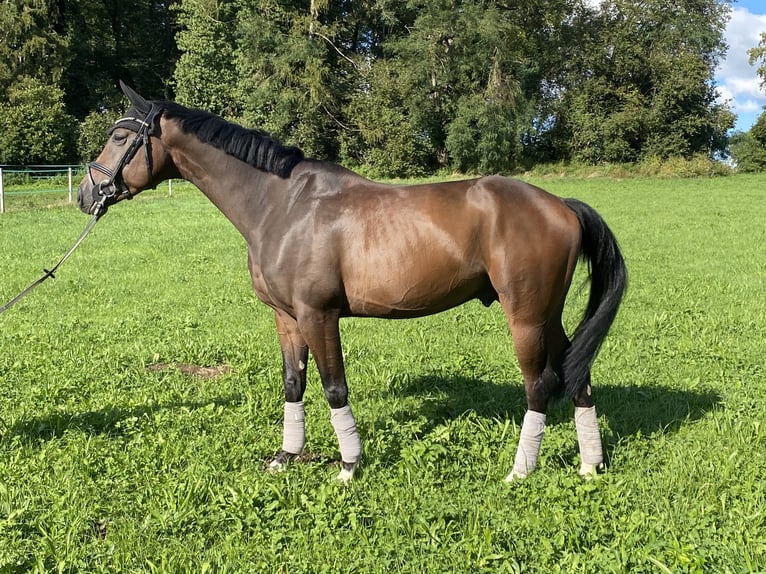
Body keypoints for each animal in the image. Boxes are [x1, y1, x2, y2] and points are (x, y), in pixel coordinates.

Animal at [79, 81, 632, 484]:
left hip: (526, 318)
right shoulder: (286, 318)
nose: (87, 194)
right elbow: (294, 383)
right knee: (578, 375)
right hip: (549, 316)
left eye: (121, 137)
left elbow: (333, 387)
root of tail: (562, 206)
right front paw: (286, 456)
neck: (282, 204)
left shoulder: (317, 315)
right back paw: (589, 465)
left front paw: (348, 466)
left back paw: (520, 471)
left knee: (539, 385)